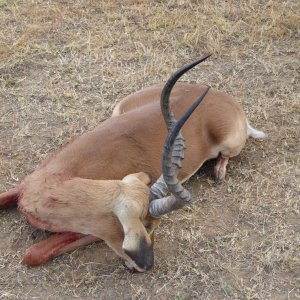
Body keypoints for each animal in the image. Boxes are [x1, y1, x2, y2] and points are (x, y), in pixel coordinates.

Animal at [0, 55, 266, 268]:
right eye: (147, 226)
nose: (146, 265)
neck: (58, 180)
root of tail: (222, 97)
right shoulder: (23, 187)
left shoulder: (89, 232)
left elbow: (32, 253)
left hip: (230, 144)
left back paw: (219, 173)